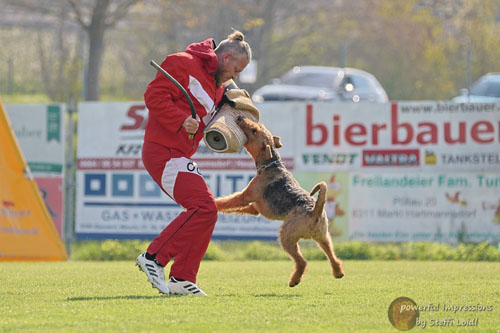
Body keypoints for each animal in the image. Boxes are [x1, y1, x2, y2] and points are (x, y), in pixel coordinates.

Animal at [215, 116, 344, 286]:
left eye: (254, 131)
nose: (240, 117)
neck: (271, 164)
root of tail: (315, 210)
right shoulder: (254, 208)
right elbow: (231, 206)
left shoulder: (244, 197)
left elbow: (226, 201)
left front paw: (212, 202)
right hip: (323, 238)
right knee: (333, 257)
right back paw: (338, 273)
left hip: (286, 236)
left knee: (302, 262)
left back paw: (294, 280)